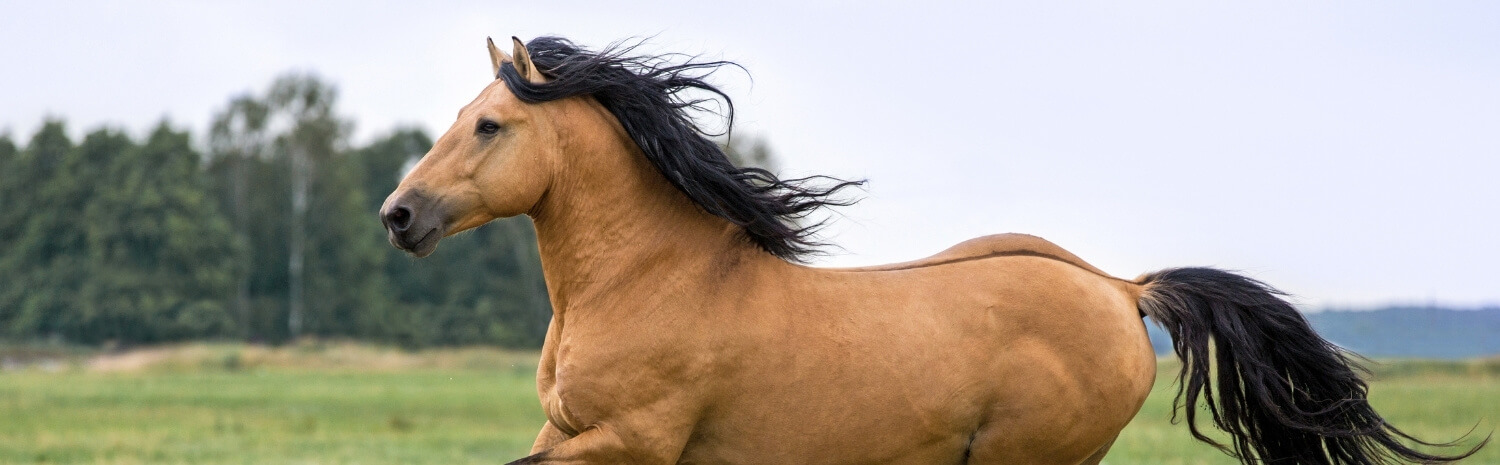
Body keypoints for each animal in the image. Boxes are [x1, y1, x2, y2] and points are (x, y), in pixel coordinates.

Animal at [379, 36, 1483, 464]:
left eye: (488, 126)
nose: (400, 215)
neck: (648, 283)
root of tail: (1120, 288)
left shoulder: (631, 441)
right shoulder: (578, 434)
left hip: (1026, 456)